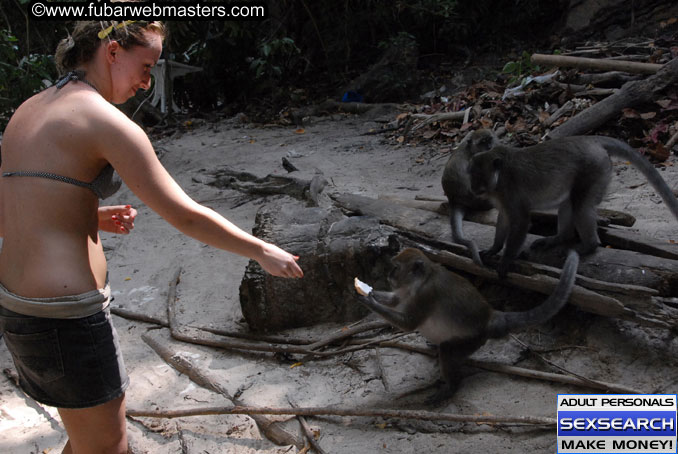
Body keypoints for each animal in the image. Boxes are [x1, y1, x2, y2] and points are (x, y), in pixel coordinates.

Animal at [356, 248, 580, 400]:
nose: (389, 276)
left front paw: (369, 301)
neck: (420, 281)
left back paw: (451, 388)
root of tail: (489, 319)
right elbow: (395, 300)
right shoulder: (405, 291)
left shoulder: (426, 294)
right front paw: (368, 293)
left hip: (473, 341)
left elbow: (409, 324)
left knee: (448, 350)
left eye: (396, 268)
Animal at [440, 129, 500, 264]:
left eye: (489, 140)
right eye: (483, 142)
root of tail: (454, 200)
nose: (489, 146)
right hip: (480, 202)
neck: (470, 150)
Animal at [470, 133, 678, 278]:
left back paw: (589, 246)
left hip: (595, 168)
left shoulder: (510, 190)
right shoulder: (502, 196)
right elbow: (504, 218)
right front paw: (494, 249)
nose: (472, 188)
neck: (498, 179)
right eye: (471, 174)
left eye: (479, 176)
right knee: (569, 202)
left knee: (580, 206)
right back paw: (560, 238)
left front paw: (505, 260)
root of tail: (591, 140)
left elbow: (520, 222)